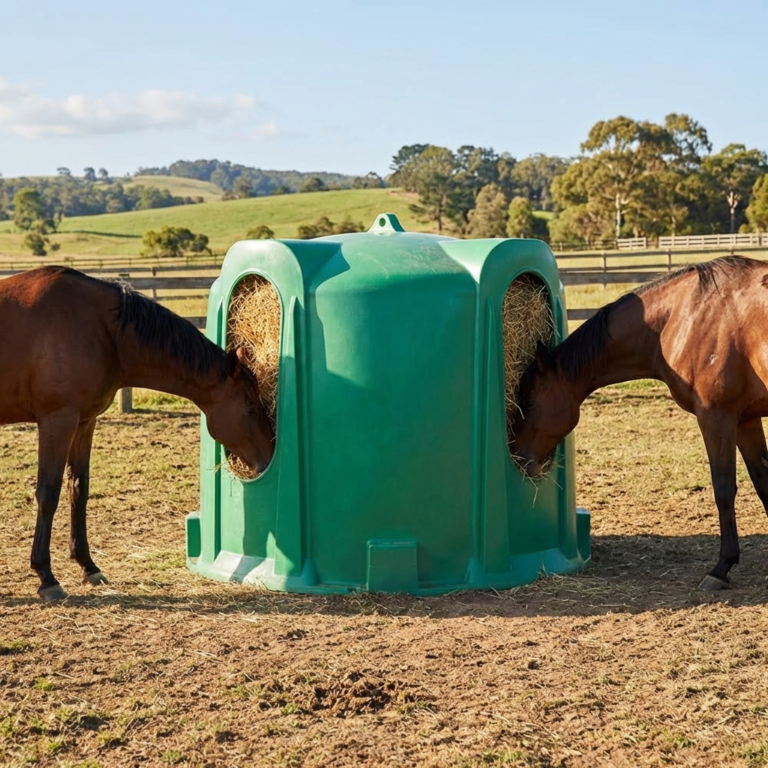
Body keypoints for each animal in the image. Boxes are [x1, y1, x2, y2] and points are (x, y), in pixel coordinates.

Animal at [0, 266, 274, 602]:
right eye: (250, 409)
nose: (268, 458)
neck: (99, 329)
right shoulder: (57, 421)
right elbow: (48, 493)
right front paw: (46, 577)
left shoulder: (84, 422)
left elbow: (78, 489)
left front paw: (88, 566)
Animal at [511, 255, 768, 591]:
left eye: (529, 402)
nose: (520, 458)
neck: (684, 315)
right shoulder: (746, 420)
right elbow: (764, 483)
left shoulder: (717, 417)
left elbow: (723, 488)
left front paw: (721, 568)